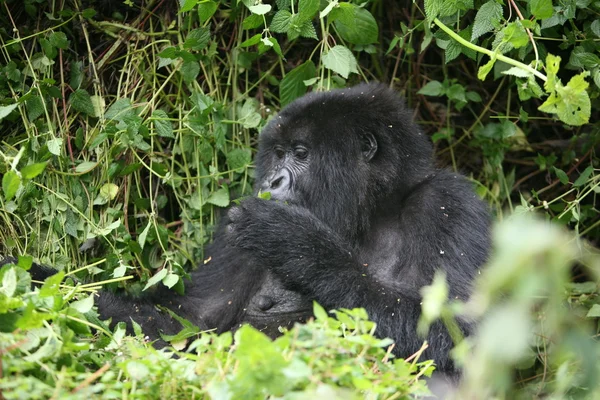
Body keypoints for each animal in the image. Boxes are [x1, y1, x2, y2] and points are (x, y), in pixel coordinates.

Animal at [2, 83, 490, 374]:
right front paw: (29, 282)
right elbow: (184, 327)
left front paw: (298, 245)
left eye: (301, 153)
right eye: (277, 154)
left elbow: (467, 335)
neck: (370, 212)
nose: (272, 182)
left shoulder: (449, 204)